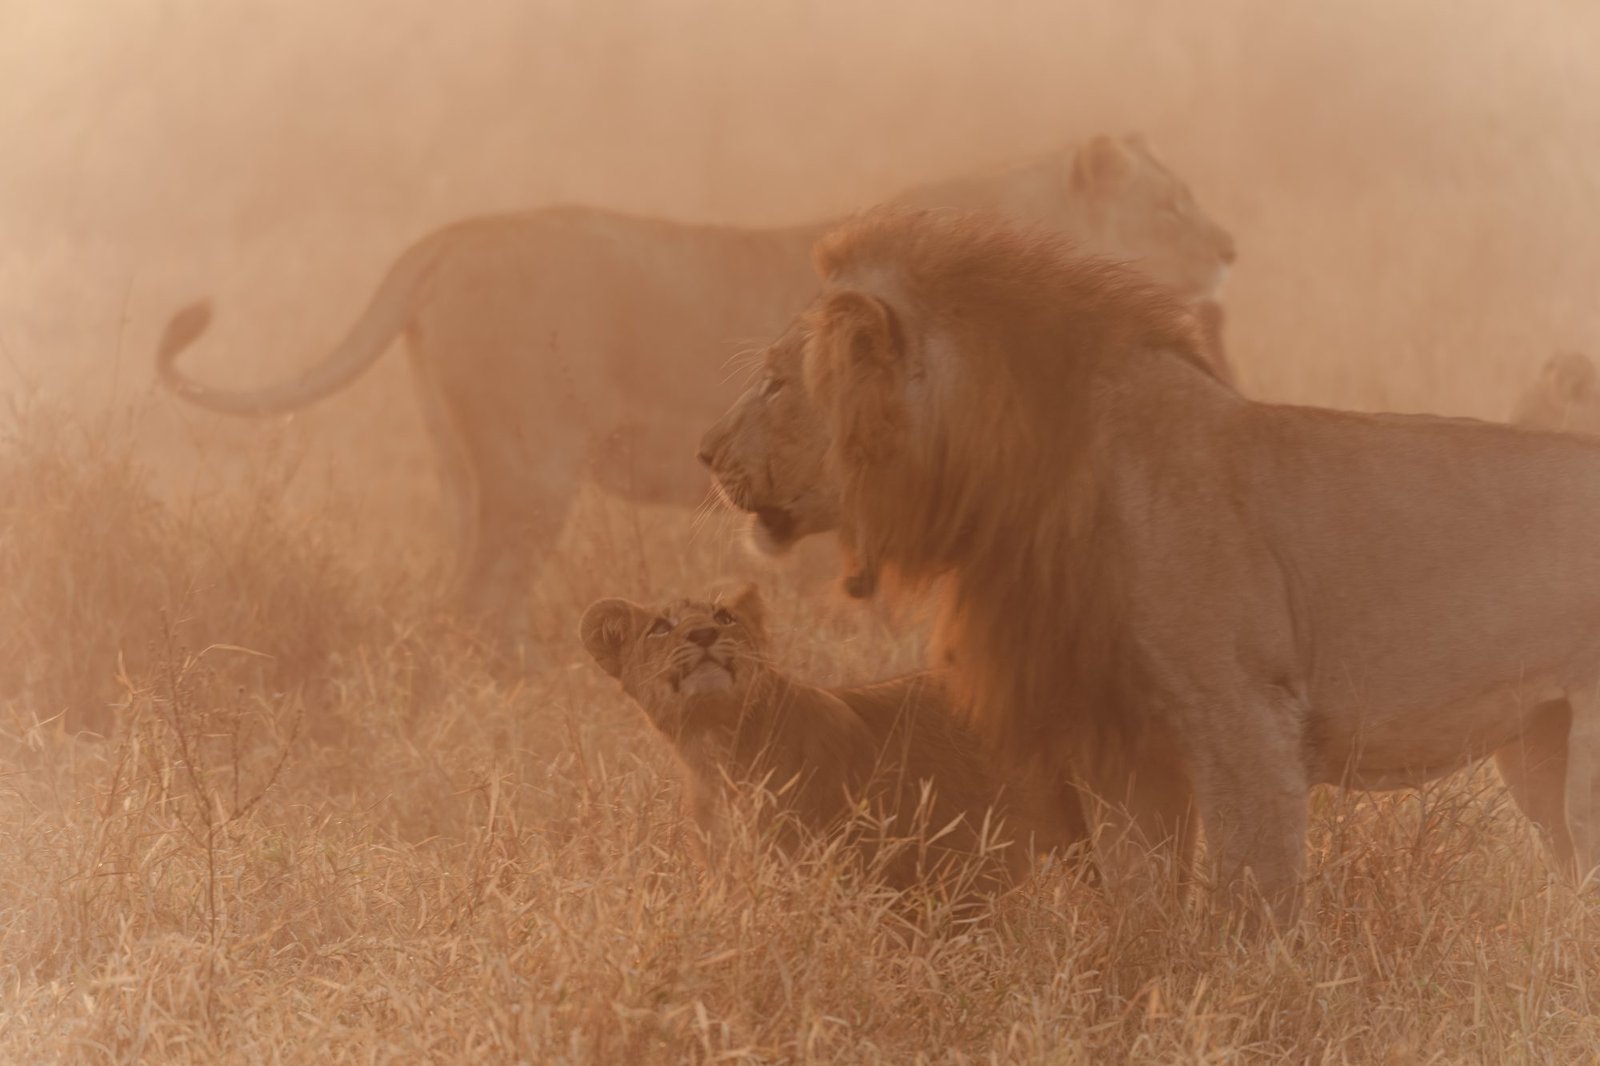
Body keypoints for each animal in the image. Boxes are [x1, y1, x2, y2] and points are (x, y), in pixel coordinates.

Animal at [154, 135, 1235, 651]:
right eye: (1172, 205)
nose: (1230, 248)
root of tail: (458, 232)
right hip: (533, 467)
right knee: (484, 600)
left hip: (458, 459)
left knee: (454, 596)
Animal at [700, 207, 1600, 926]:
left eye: (776, 384)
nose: (704, 451)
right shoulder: (1124, 746)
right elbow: (1141, 905)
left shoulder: (1247, 724)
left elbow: (1252, 908)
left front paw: (1260, 1012)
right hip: (1537, 748)